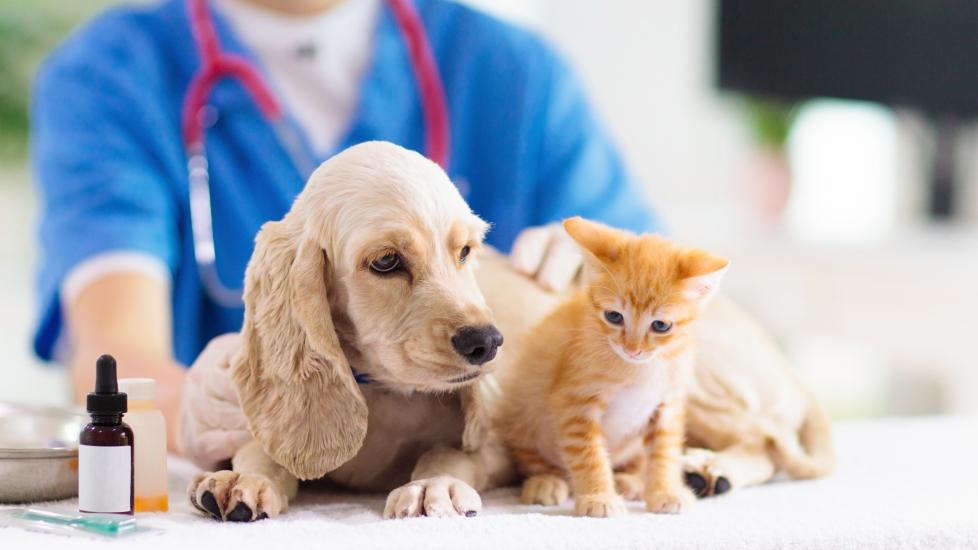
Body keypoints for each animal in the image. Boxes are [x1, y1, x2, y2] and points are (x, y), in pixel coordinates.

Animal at [496, 218, 724, 520]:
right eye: (614, 317)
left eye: (660, 325)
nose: (632, 349)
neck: (641, 369)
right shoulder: (575, 403)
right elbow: (588, 454)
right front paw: (599, 497)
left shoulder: (667, 405)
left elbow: (664, 452)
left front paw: (665, 491)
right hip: (525, 413)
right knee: (534, 456)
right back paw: (546, 481)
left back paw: (631, 482)